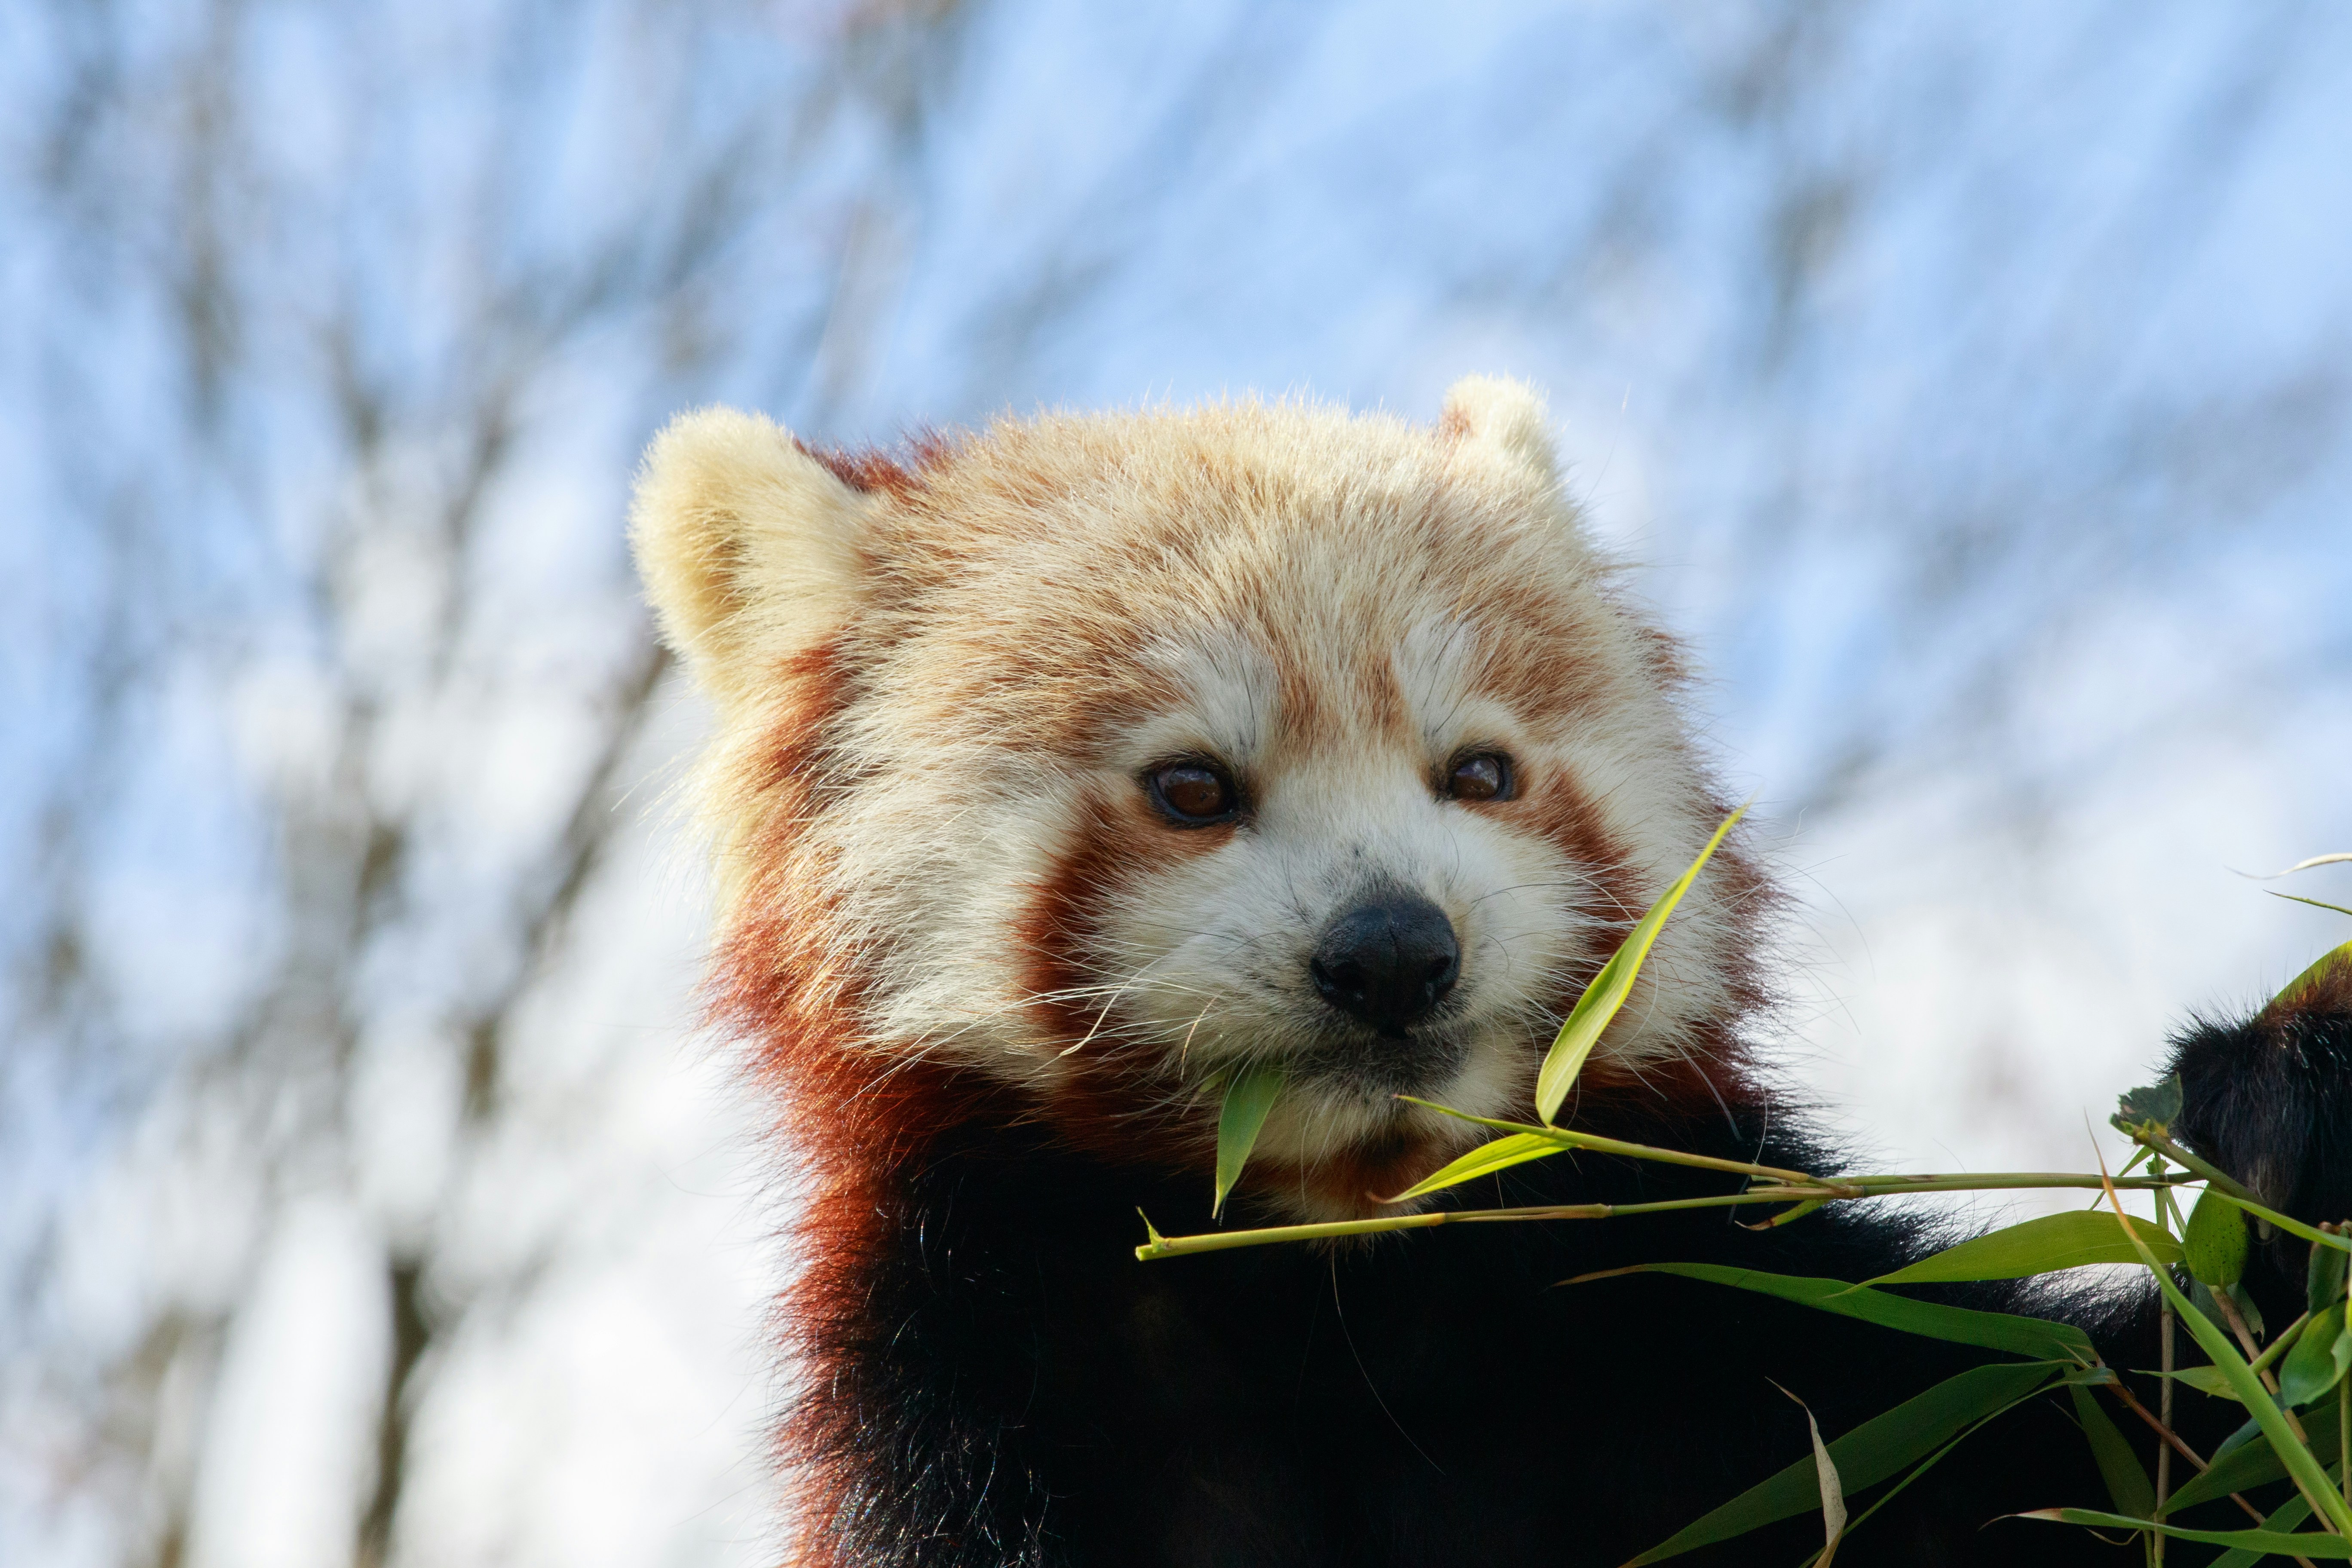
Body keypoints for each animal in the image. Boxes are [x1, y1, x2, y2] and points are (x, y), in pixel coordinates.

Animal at [628, 377, 2352, 1566]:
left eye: (1478, 772)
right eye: (1190, 787)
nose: (1395, 951)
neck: (1354, 1288)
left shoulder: (1738, 1355)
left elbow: (2149, 1459)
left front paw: (2290, 1102)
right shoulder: (974, 1415)